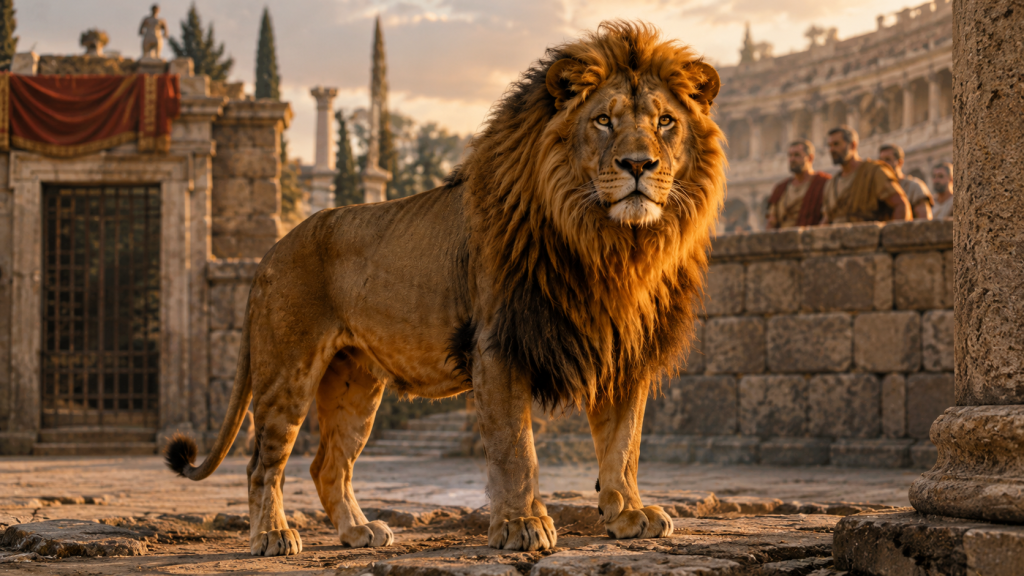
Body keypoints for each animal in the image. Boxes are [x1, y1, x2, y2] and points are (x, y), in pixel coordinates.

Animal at [165, 20, 725, 557]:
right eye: (603, 121)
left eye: (665, 122)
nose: (639, 165)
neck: (612, 245)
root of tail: (270, 252)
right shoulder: (498, 347)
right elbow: (515, 447)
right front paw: (521, 525)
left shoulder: (625, 350)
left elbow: (623, 444)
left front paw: (628, 514)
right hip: (288, 371)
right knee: (262, 463)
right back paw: (272, 536)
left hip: (355, 382)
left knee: (327, 464)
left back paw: (359, 531)